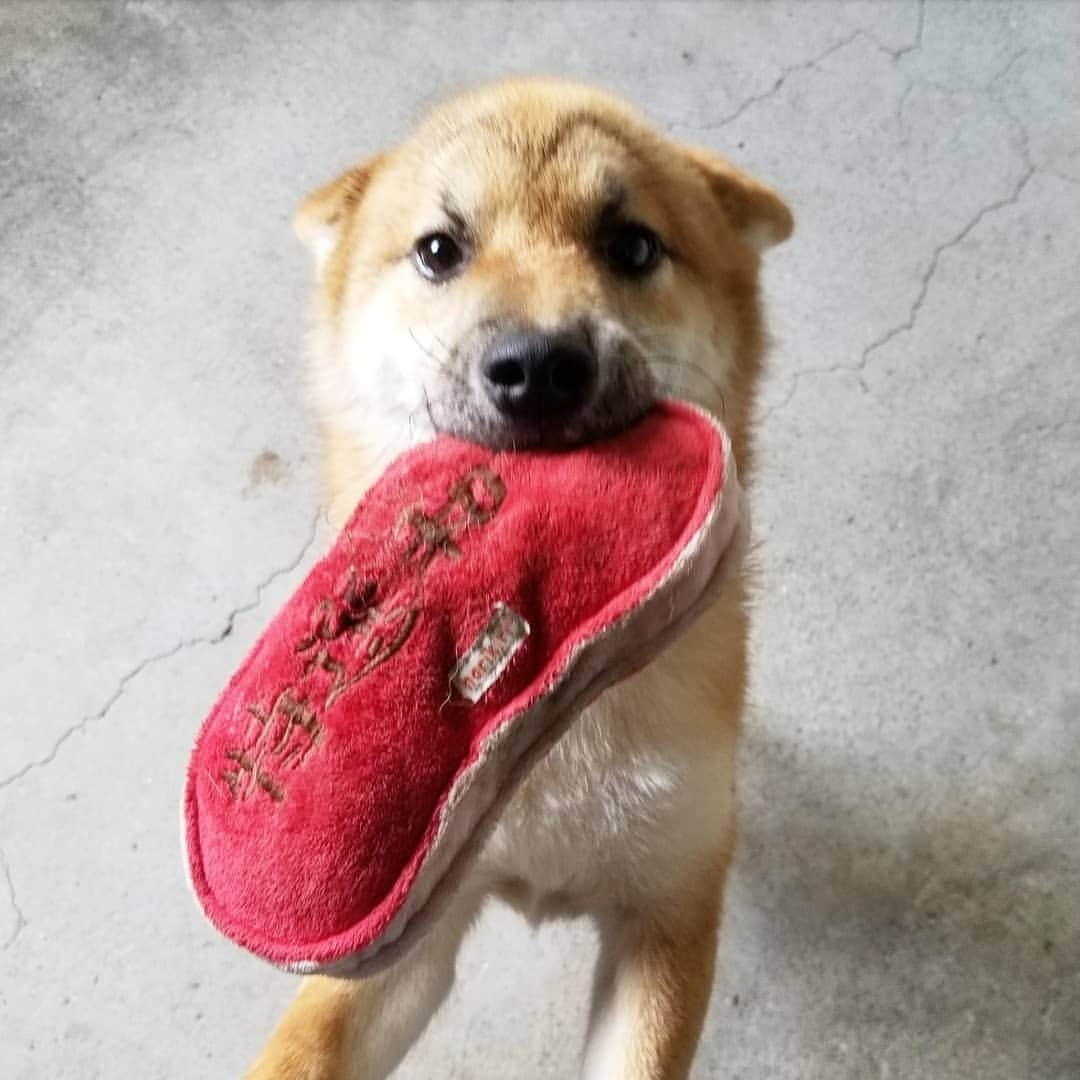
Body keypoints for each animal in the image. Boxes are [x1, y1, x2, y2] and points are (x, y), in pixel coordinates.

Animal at [248, 78, 790, 1080]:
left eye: (633, 245)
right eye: (439, 250)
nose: (538, 368)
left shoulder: (668, 911)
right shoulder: (405, 935)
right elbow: (303, 1051)